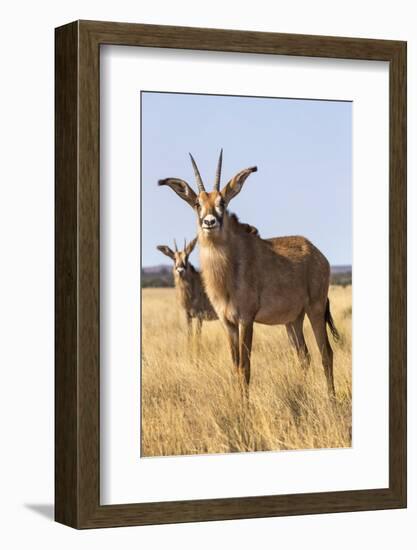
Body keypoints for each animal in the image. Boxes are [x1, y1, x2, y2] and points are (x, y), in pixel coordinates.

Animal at [158, 151, 340, 396]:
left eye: (222, 202)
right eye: (197, 203)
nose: (209, 222)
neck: (229, 269)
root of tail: (317, 253)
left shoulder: (246, 319)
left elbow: (245, 367)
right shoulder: (227, 323)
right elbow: (235, 366)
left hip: (316, 308)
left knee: (326, 353)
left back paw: (331, 399)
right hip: (293, 320)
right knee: (304, 356)